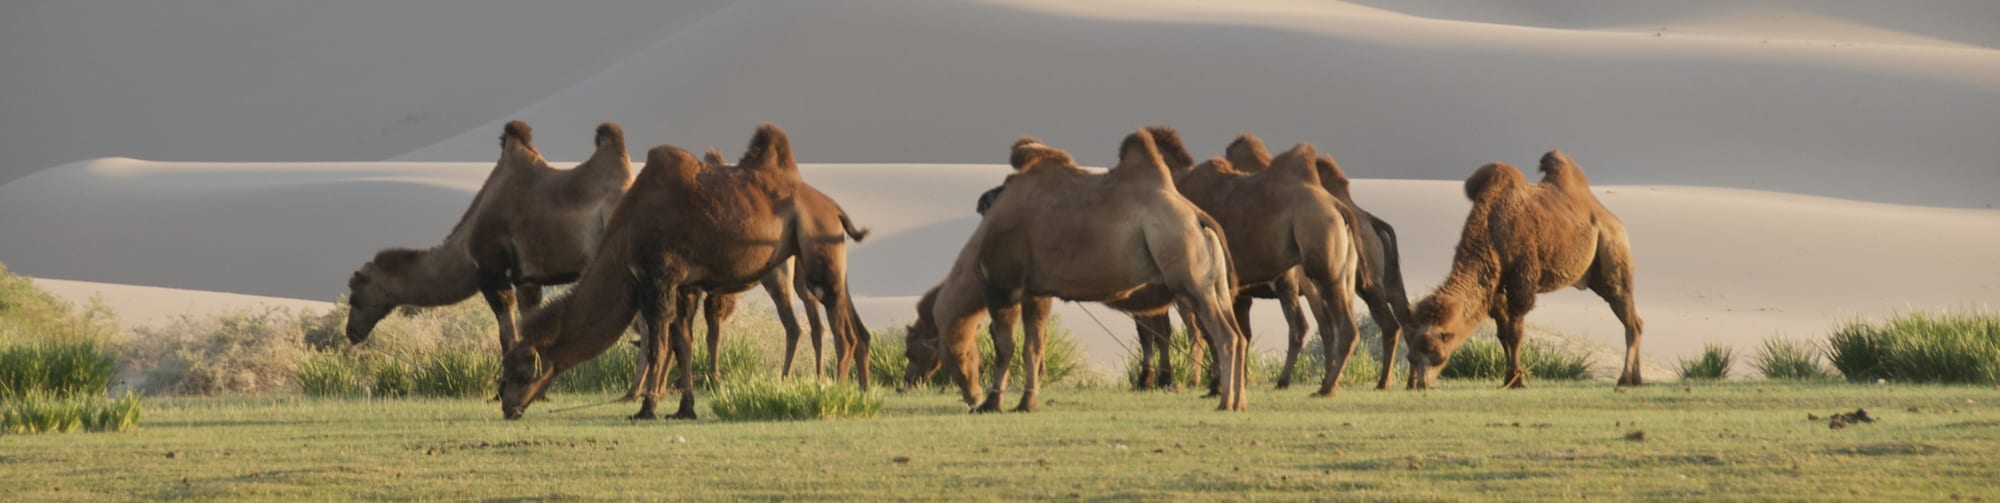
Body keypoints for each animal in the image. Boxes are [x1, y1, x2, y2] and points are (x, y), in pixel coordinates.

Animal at [342, 121, 624, 357]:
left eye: (355, 296)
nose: (351, 333)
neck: (466, 248)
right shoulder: (527, 280)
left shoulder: (493, 274)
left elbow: (507, 337)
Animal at [500, 123, 820, 419]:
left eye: (523, 372)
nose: (506, 405)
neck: (626, 236)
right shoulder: (680, 285)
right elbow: (683, 344)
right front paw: (684, 408)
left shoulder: (660, 278)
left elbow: (659, 346)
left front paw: (648, 406)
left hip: (784, 270)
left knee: (795, 325)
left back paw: (786, 384)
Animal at [908, 129, 1248, 413]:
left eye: (913, 351)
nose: (971, 396)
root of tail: (1198, 217)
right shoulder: (1036, 293)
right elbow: (1034, 347)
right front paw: (1027, 403)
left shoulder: (1004, 286)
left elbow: (1005, 346)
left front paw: (992, 403)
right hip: (1213, 281)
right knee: (1238, 334)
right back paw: (1237, 401)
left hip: (1187, 273)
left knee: (1224, 335)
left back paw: (1224, 401)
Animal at [1216, 132, 1424, 389]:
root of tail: (1370, 222)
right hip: (1384, 279)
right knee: (1404, 316)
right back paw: (1410, 381)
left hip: (1363, 282)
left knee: (1384, 323)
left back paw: (1380, 382)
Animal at [1408, 149, 1640, 389]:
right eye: (1410, 356)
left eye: (1437, 354)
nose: (1418, 384)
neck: (1491, 231)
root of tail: (1615, 221)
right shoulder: (1495, 286)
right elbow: (1503, 334)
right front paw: (1509, 378)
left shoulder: (1521, 282)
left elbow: (1515, 333)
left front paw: (1516, 380)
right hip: (1595, 276)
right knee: (1637, 322)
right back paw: (1636, 379)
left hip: (1614, 256)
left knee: (1630, 321)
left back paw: (1624, 379)